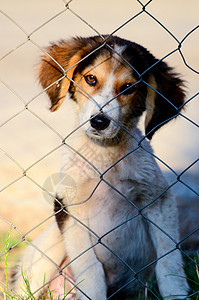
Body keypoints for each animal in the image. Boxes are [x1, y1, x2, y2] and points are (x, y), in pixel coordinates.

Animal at [12, 35, 190, 300]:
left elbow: (169, 262)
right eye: (91, 79)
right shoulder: (69, 208)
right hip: (48, 248)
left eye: (128, 88)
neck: (106, 156)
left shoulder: (158, 201)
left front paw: (175, 295)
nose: (99, 121)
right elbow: (91, 268)